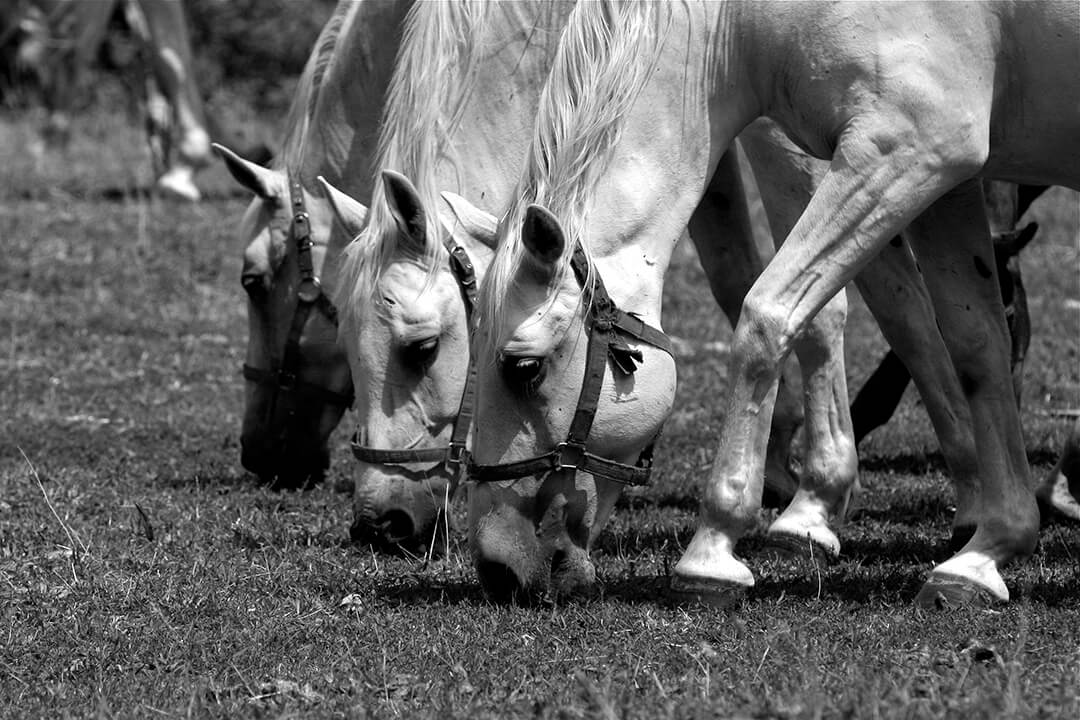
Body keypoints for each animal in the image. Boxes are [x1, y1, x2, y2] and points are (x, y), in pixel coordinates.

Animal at [466, 0, 1080, 608]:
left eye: (524, 367)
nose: (498, 569)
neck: (743, 23)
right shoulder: (949, 186)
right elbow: (975, 347)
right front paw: (987, 549)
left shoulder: (907, 147)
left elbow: (769, 315)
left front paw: (713, 552)